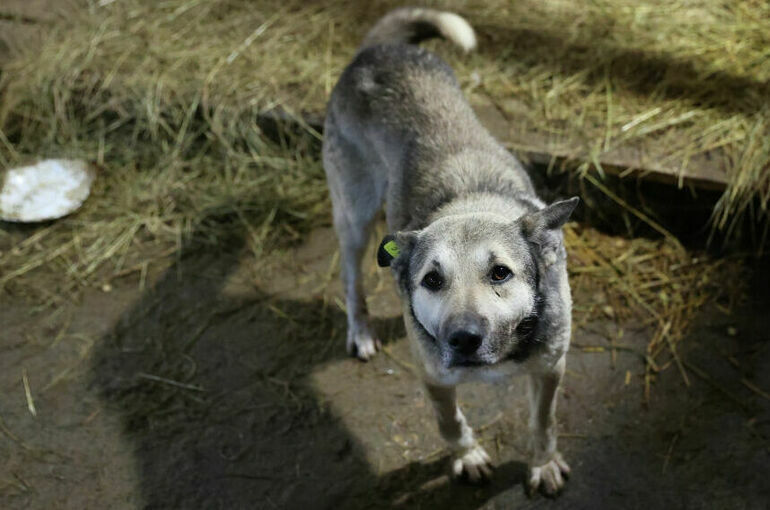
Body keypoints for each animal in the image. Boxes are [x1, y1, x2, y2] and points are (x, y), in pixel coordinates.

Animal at [320, 6, 576, 494]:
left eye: (500, 272)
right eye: (432, 280)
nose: (463, 338)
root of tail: (378, 50)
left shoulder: (550, 368)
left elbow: (545, 421)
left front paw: (543, 464)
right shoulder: (434, 376)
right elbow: (449, 422)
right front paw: (469, 456)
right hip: (355, 215)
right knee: (350, 276)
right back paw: (360, 330)